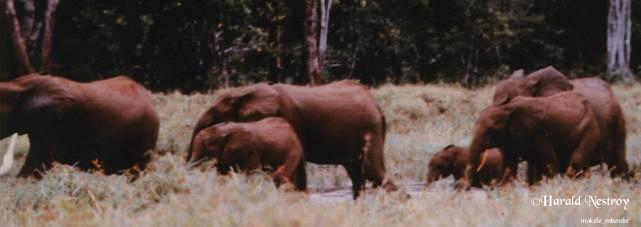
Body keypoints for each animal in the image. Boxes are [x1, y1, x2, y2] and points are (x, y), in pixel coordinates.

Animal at [186, 80, 396, 199]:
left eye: (216, 114)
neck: (246, 92)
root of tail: (377, 106)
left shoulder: (286, 117)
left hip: (369, 130)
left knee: (375, 173)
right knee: (357, 176)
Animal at [464, 90, 600, 186]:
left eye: (491, 130)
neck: (507, 108)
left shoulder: (537, 131)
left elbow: (550, 162)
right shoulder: (510, 138)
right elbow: (509, 167)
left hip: (589, 128)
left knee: (576, 161)